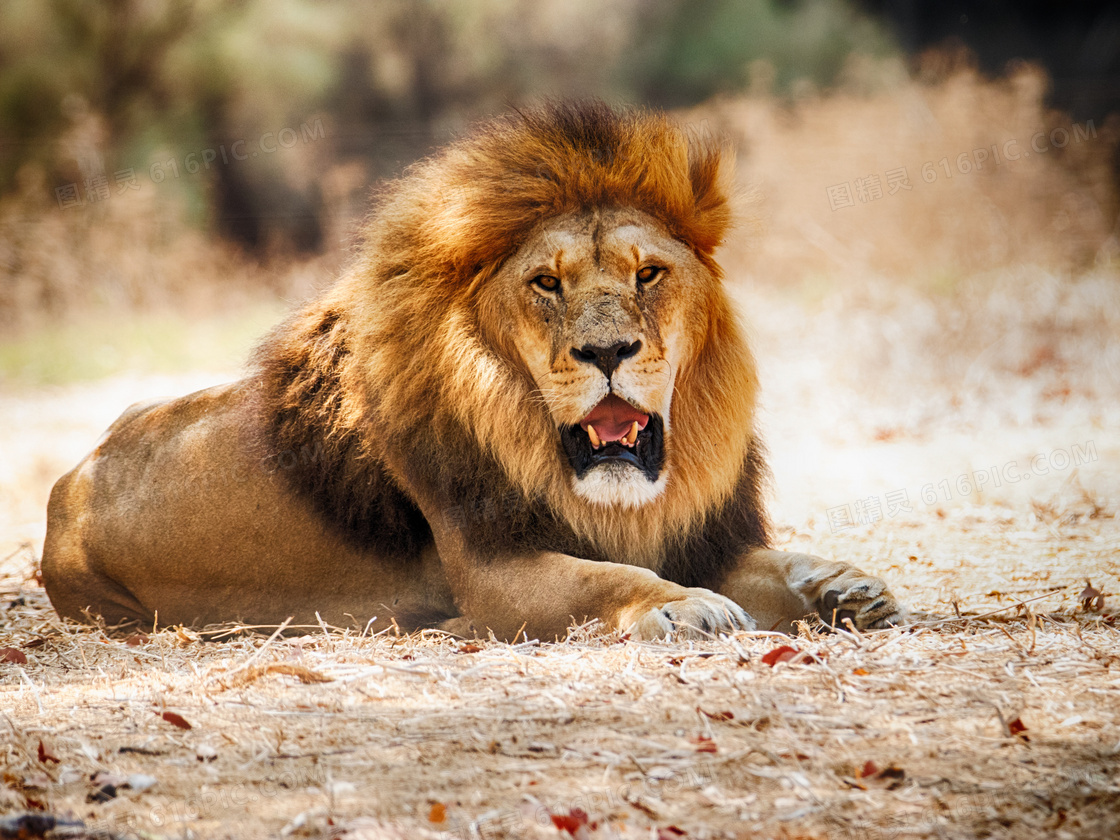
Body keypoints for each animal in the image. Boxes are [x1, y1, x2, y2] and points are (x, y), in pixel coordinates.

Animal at [41, 101, 909, 640]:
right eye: (547, 283)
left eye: (649, 274)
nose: (607, 353)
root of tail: (72, 482)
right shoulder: (494, 569)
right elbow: (608, 579)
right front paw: (685, 608)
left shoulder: (702, 534)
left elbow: (778, 559)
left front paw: (845, 587)